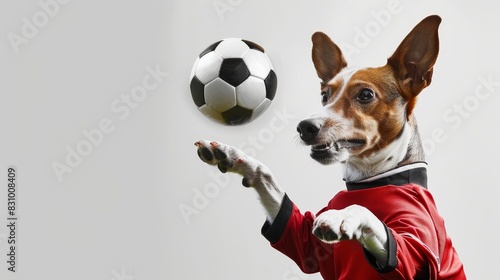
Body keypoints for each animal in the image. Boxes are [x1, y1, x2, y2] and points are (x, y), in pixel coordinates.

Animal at [194, 15, 464, 280]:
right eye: (325, 95)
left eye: (366, 95)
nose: (304, 127)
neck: (370, 181)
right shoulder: (306, 245)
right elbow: (268, 180)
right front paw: (232, 155)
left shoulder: (418, 240)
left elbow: (368, 216)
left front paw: (342, 215)